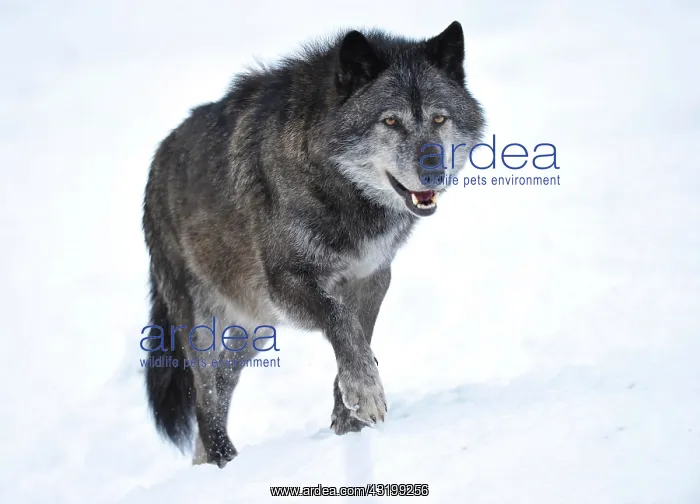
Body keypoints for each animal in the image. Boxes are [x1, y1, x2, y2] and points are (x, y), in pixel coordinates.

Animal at [142, 21, 484, 467]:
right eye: (390, 121)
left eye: (440, 118)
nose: (434, 173)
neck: (341, 190)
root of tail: (158, 158)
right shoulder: (288, 281)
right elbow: (340, 320)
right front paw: (365, 393)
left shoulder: (372, 277)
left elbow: (358, 334)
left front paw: (349, 418)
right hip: (204, 323)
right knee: (205, 396)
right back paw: (224, 458)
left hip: (254, 328)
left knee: (219, 385)